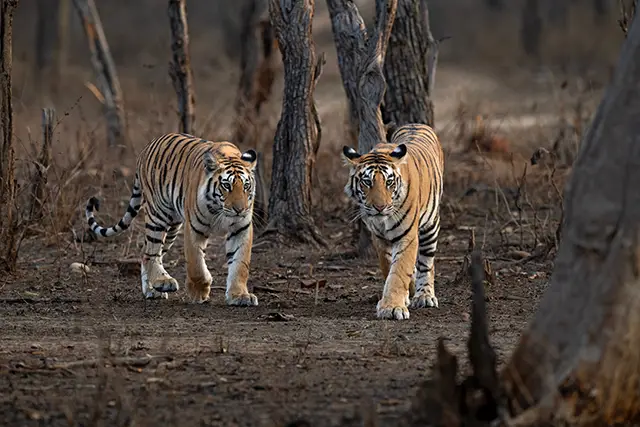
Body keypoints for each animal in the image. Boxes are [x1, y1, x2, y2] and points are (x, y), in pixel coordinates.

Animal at [85, 132, 259, 307]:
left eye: (246, 186)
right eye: (226, 186)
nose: (240, 209)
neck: (220, 210)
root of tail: (146, 149)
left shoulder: (241, 229)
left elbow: (240, 264)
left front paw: (240, 295)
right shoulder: (194, 227)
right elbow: (196, 263)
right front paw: (199, 292)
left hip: (173, 226)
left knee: (146, 253)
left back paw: (152, 290)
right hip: (158, 215)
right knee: (151, 253)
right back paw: (163, 282)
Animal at [342, 123, 444, 320]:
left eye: (389, 182)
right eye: (367, 182)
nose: (380, 207)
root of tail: (415, 124)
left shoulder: (407, 237)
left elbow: (399, 271)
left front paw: (392, 307)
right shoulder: (379, 238)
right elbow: (388, 266)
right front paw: (401, 297)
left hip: (430, 225)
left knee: (427, 263)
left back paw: (425, 296)